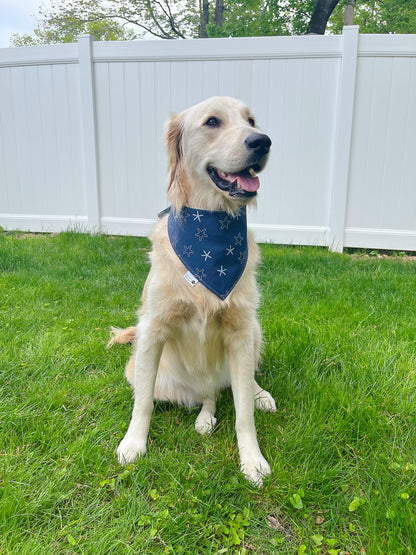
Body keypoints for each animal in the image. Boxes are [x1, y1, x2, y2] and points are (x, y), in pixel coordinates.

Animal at [109, 96, 274, 486]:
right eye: (212, 121)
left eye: (251, 120)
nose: (262, 141)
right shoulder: (153, 328)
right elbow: (142, 403)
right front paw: (133, 444)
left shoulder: (240, 330)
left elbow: (244, 413)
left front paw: (252, 459)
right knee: (205, 395)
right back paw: (204, 417)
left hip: (254, 329)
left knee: (233, 386)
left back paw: (258, 395)